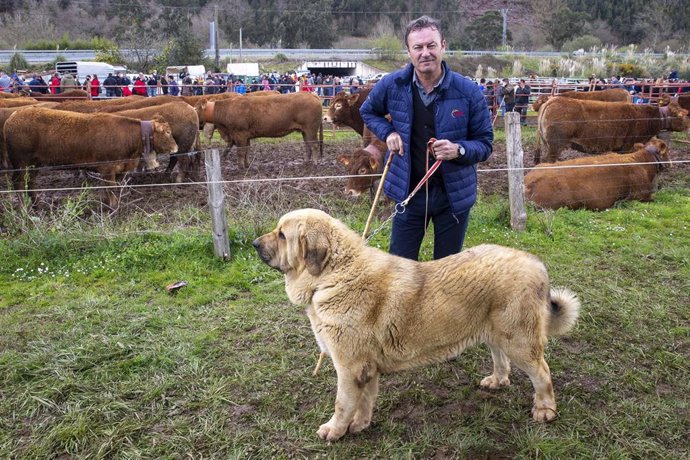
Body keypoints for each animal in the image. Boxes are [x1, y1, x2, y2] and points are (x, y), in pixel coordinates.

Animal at [5, 106, 177, 207]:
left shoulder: (118, 169)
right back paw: (23, 207)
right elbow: (111, 187)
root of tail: (14, 115)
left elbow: (110, 188)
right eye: (168, 132)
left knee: (31, 182)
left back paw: (37, 204)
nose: (176, 147)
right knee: (19, 182)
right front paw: (112, 207)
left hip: (35, 163)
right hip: (21, 162)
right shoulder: (107, 168)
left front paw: (108, 203)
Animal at [250, 209, 576, 442]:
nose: (254, 243)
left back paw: (545, 409)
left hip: (518, 340)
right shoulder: (366, 369)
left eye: (282, 235)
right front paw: (360, 425)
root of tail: (536, 263)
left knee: (542, 373)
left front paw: (334, 430)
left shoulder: (349, 367)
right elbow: (364, 402)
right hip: (494, 333)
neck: (333, 274)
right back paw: (497, 381)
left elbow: (343, 404)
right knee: (501, 360)